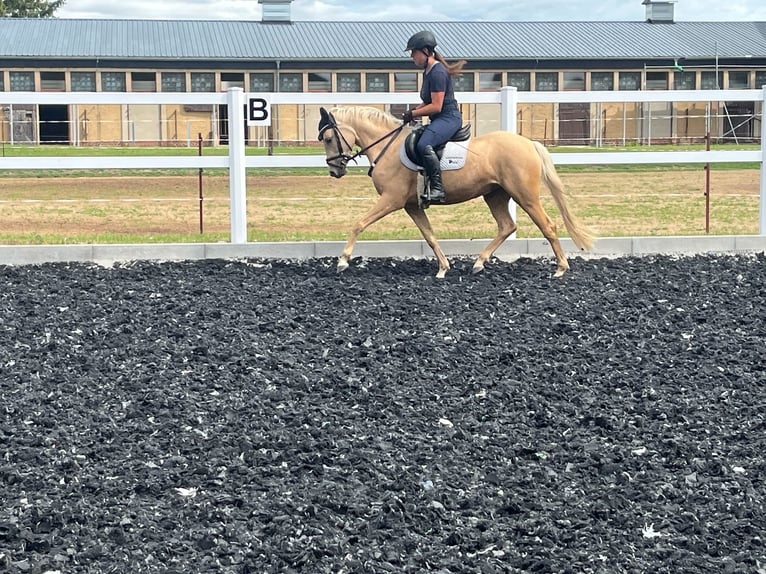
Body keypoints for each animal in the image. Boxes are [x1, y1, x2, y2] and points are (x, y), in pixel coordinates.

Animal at [317, 106, 595, 278]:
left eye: (329, 139)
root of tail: (528, 143)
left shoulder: (391, 200)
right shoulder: (412, 205)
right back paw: (479, 263)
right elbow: (429, 235)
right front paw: (443, 267)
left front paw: (343, 260)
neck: (389, 146)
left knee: (548, 226)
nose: (334, 170)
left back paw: (560, 268)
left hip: (525, 196)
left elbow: (359, 223)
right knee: (507, 226)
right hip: (495, 194)